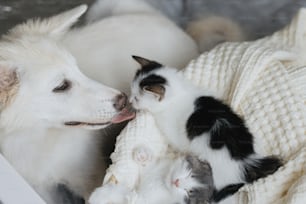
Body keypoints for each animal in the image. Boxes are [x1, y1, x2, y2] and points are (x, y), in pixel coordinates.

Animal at [0, 0, 200, 203]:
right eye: (61, 86)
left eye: (78, 69)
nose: (123, 100)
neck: (34, 138)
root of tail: (174, 28)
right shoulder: (41, 188)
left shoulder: (89, 176)